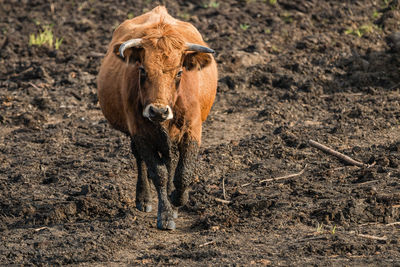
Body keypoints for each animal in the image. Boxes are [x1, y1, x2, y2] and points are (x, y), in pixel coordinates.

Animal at [97, 5, 217, 230]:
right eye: (143, 70)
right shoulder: (140, 132)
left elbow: (183, 172)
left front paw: (178, 199)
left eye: (179, 72)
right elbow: (158, 173)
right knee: (142, 160)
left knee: (171, 160)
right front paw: (166, 213)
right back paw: (143, 198)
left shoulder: (193, 128)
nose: (158, 111)